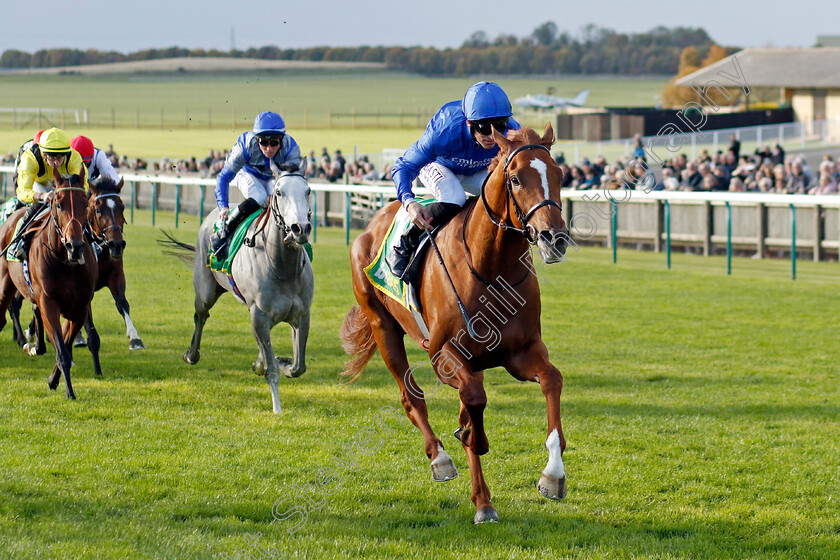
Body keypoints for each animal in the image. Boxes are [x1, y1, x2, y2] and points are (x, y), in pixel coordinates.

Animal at [0, 165, 97, 398]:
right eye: (59, 203)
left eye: (85, 202)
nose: (75, 246)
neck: (65, 262)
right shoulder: (49, 302)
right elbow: (62, 350)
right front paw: (69, 391)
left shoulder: (80, 307)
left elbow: (67, 346)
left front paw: (54, 379)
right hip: (5, 285)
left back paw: (34, 346)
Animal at [180, 162, 312, 412]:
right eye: (279, 192)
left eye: (308, 191)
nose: (300, 228)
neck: (281, 267)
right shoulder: (259, 315)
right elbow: (271, 371)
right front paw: (277, 408)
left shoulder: (301, 315)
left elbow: (298, 367)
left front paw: (277, 361)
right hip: (205, 291)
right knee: (200, 315)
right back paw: (191, 354)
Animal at [342, 123, 572, 524]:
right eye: (515, 178)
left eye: (559, 175)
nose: (553, 238)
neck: (491, 267)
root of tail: (372, 222)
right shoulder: (442, 355)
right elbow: (473, 405)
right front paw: (470, 439)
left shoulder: (521, 352)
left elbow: (551, 381)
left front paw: (553, 475)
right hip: (383, 326)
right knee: (412, 398)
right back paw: (443, 461)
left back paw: (483, 500)